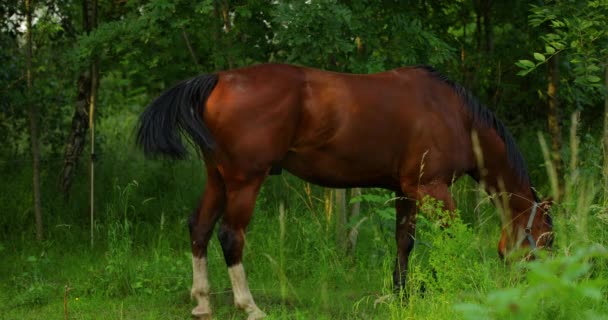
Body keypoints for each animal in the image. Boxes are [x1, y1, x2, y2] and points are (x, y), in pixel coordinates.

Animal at [135, 63, 552, 320]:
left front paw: (399, 294)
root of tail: (219, 78)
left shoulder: (406, 191)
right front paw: (460, 283)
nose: (536, 286)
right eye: (546, 237)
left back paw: (202, 304)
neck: (457, 117)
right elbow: (455, 239)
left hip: (218, 178)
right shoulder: (431, 189)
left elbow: (404, 241)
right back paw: (249, 306)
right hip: (243, 181)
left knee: (200, 228)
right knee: (230, 236)